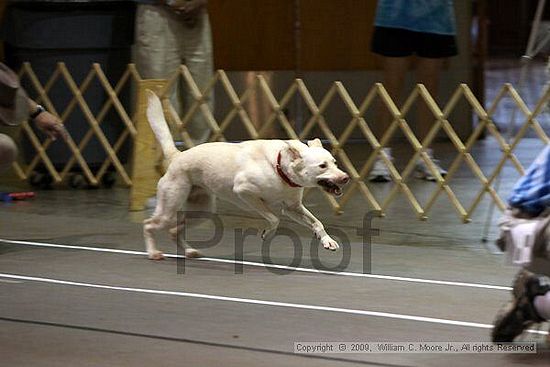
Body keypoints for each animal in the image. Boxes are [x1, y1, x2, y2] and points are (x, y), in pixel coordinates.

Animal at [142, 90, 350, 260]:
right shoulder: (245, 192)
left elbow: (317, 222)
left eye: (335, 162)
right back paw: (153, 252)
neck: (279, 168)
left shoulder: (292, 208)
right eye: (322, 166)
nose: (346, 177)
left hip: (202, 211)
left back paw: (189, 251)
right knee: (149, 224)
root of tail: (177, 155)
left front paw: (327, 241)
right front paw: (267, 234)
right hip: (170, 206)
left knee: (173, 231)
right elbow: (274, 218)